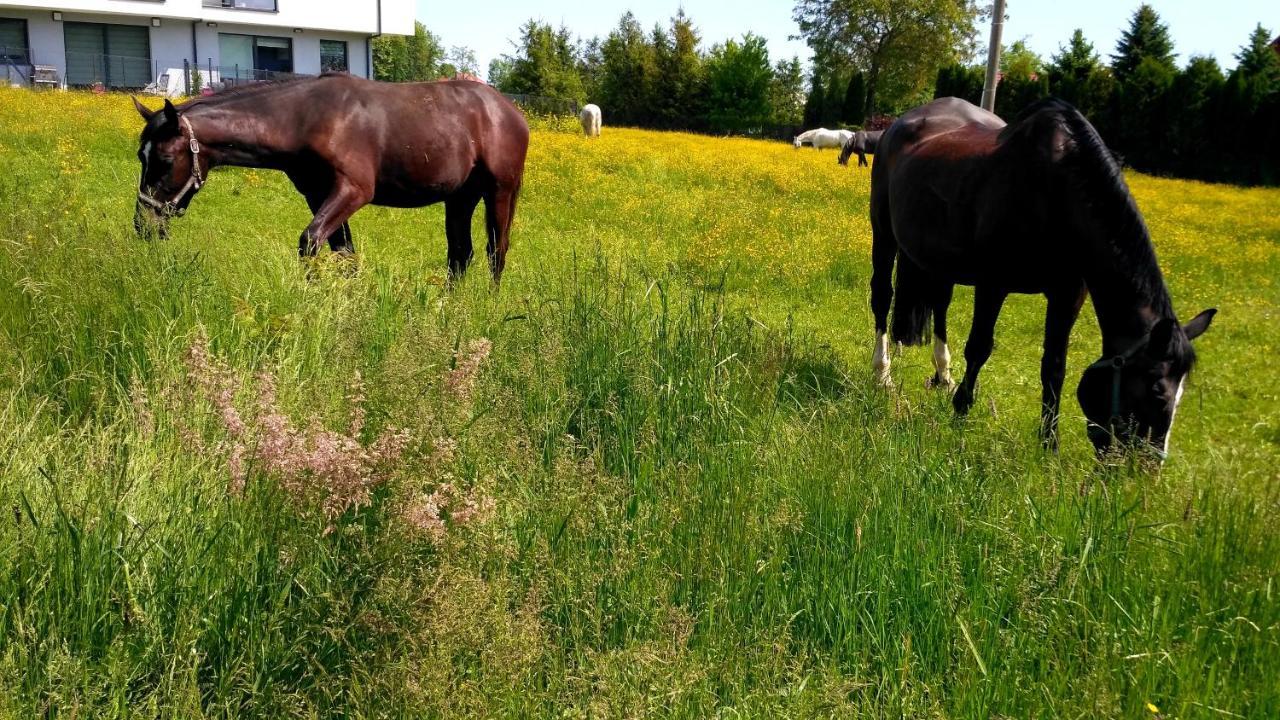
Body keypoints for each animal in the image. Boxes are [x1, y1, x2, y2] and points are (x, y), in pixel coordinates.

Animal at [131, 73, 529, 280]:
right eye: (141, 155)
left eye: (165, 159)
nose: (143, 225)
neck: (305, 118)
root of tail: (510, 111)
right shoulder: (318, 194)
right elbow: (345, 254)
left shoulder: (353, 189)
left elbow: (310, 242)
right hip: (460, 197)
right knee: (461, 254)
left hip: (500, 191)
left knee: (497, 251)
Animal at [870, 95, 1218, 456]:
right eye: (1157, 393)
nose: (1146, 467)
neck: (1056, 191)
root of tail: (902, 122)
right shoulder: (993, 283)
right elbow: (979, 348)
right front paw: (960, 413)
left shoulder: (1068, 294)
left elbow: (1054, 366)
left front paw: (1049, 443)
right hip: (885, 235)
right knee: (882, 298)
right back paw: (882, 374)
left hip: (938, 261)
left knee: (940, 306)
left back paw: (943, 374)